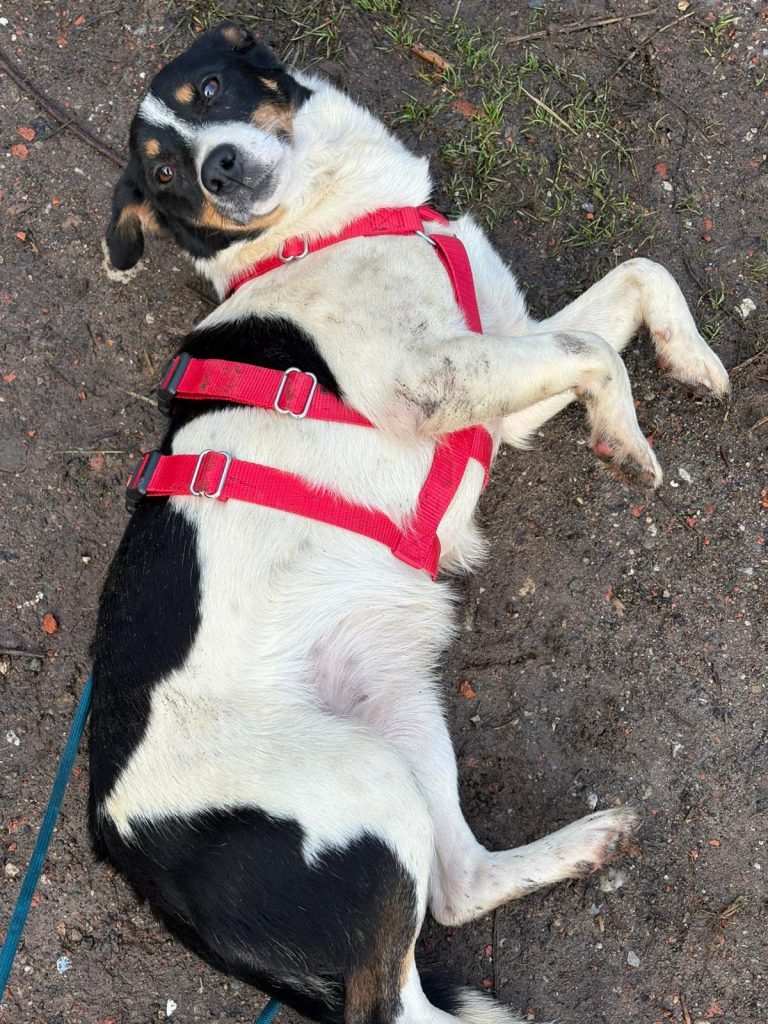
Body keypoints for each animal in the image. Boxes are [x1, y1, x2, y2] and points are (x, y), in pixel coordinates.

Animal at [91, 22, 730, 1024]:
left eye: (209, 91)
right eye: (162, 175)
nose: (219, 170)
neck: (331, 224)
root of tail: (124, 850)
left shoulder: (495, 390)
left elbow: (637, 279)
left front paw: (689, 357)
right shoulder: (426, 382)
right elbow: (595, 348)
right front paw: (624, 437)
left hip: (398, 711)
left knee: (460, 886)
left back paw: (586, 843)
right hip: (364, 784)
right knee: (401, 1000)